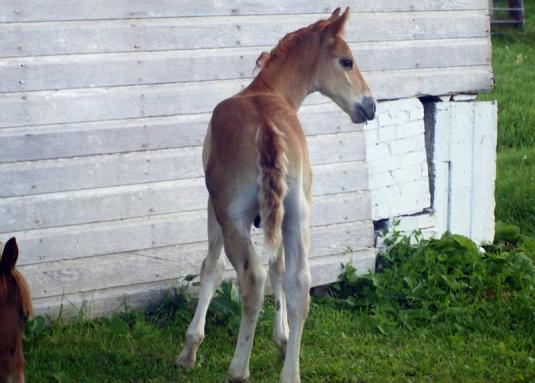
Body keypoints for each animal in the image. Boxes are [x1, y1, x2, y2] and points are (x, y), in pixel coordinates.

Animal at [178, 7, 374, 382]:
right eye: (347, 61)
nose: (371, 106)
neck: (266, 91)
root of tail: (267, 126)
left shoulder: (213, 207)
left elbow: (212, 267)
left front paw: (190, 348)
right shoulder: (279, 216)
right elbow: (280, 268)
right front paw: (283, 341)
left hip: (234, 219)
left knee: (252, 278)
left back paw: (238, 369)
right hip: (298, 214)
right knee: (300, 284)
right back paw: (290, 373)